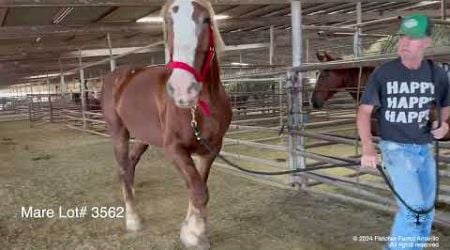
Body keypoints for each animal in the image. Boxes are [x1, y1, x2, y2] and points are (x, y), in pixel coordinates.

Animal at [100, 0, 230, 249]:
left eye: (206, 20)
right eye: (168, 22)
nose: (183, 90)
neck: (199, 107)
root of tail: (118, 75)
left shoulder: (210, 148)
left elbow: (197, 186)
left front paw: (190, 231)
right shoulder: (175, 149)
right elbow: (199, 190)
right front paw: (197, 236)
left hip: (143, 137)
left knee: (130, 166)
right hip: (118, 132)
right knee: (122, 169)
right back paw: (133, 219)